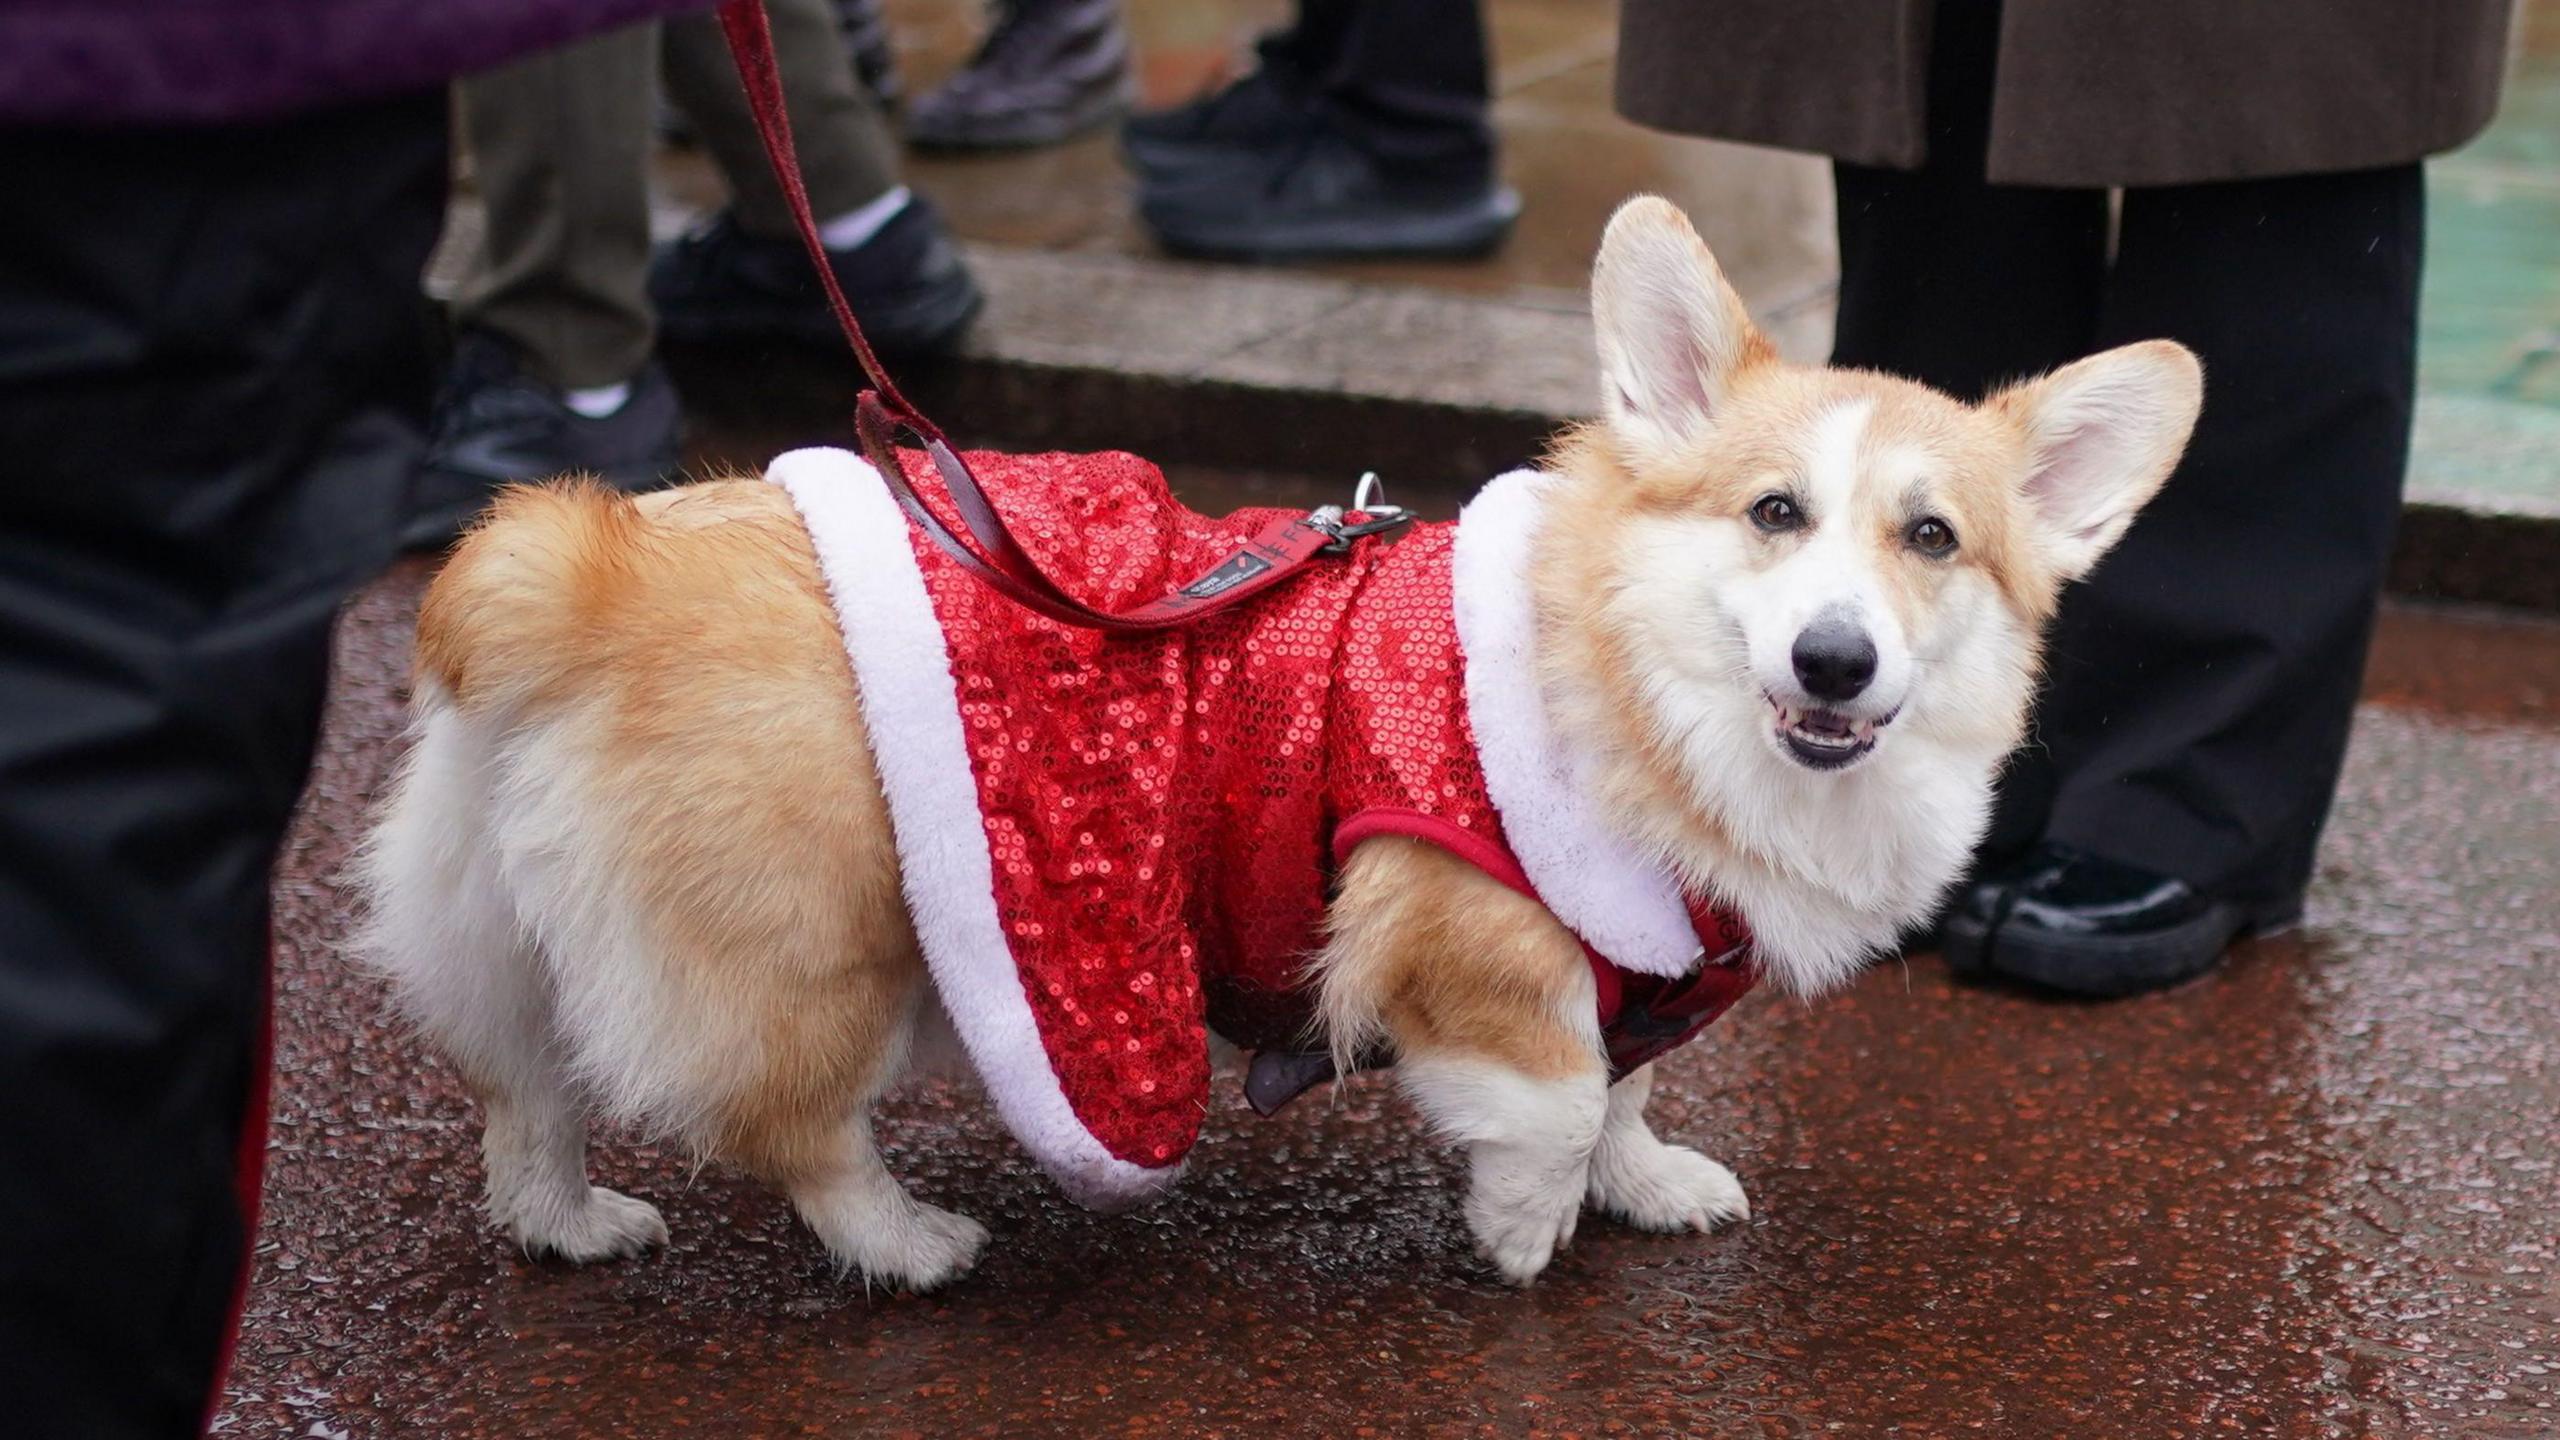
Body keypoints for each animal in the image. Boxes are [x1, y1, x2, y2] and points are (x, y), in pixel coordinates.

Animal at [360, 196, 2201, 1281]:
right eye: (1774, 514)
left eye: (1934, 540)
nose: (1835, 659)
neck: (1644, 695)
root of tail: (580, 562)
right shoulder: (1466, 924)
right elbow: (1550, 1101)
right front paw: (1525, 1238)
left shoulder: (1639, 962)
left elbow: (1625, 1091)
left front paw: (1648, 1185)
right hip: (837, 953)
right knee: (789, 1127)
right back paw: (910, 1242)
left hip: (501, 923)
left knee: (524, 1089)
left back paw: (568, 1224)